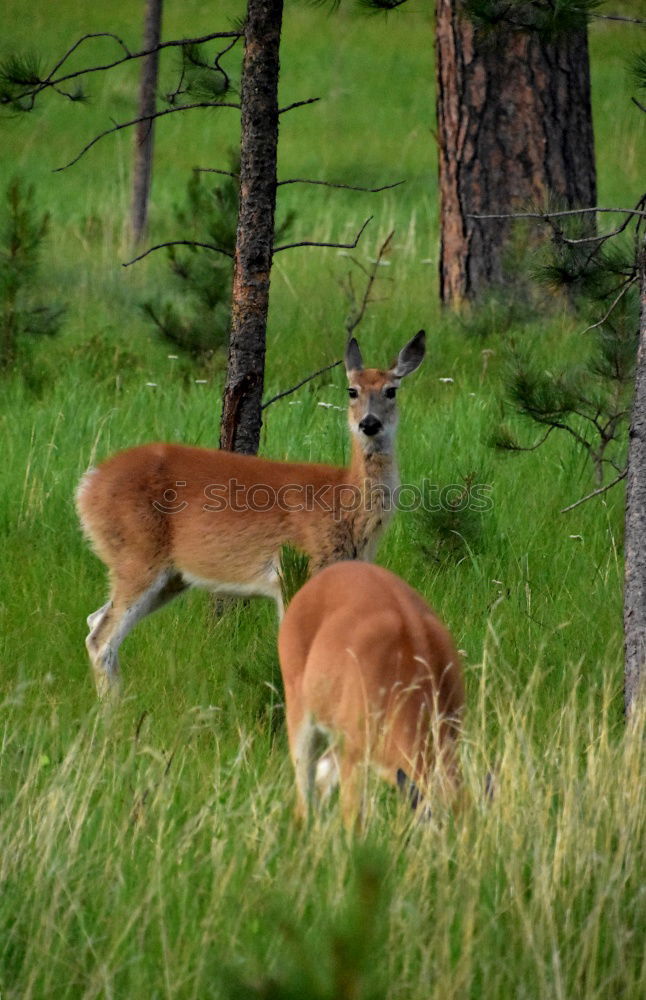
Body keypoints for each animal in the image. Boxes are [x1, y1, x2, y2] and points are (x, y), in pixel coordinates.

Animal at [76, 328, 428, 696]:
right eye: (352, 390)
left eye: (391, 390)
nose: (369, 424)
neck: (345, 503)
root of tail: (87, 485)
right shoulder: (292, 572)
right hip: (138, 553)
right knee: (101, 638)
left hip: (170, 576)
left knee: (94, 622)